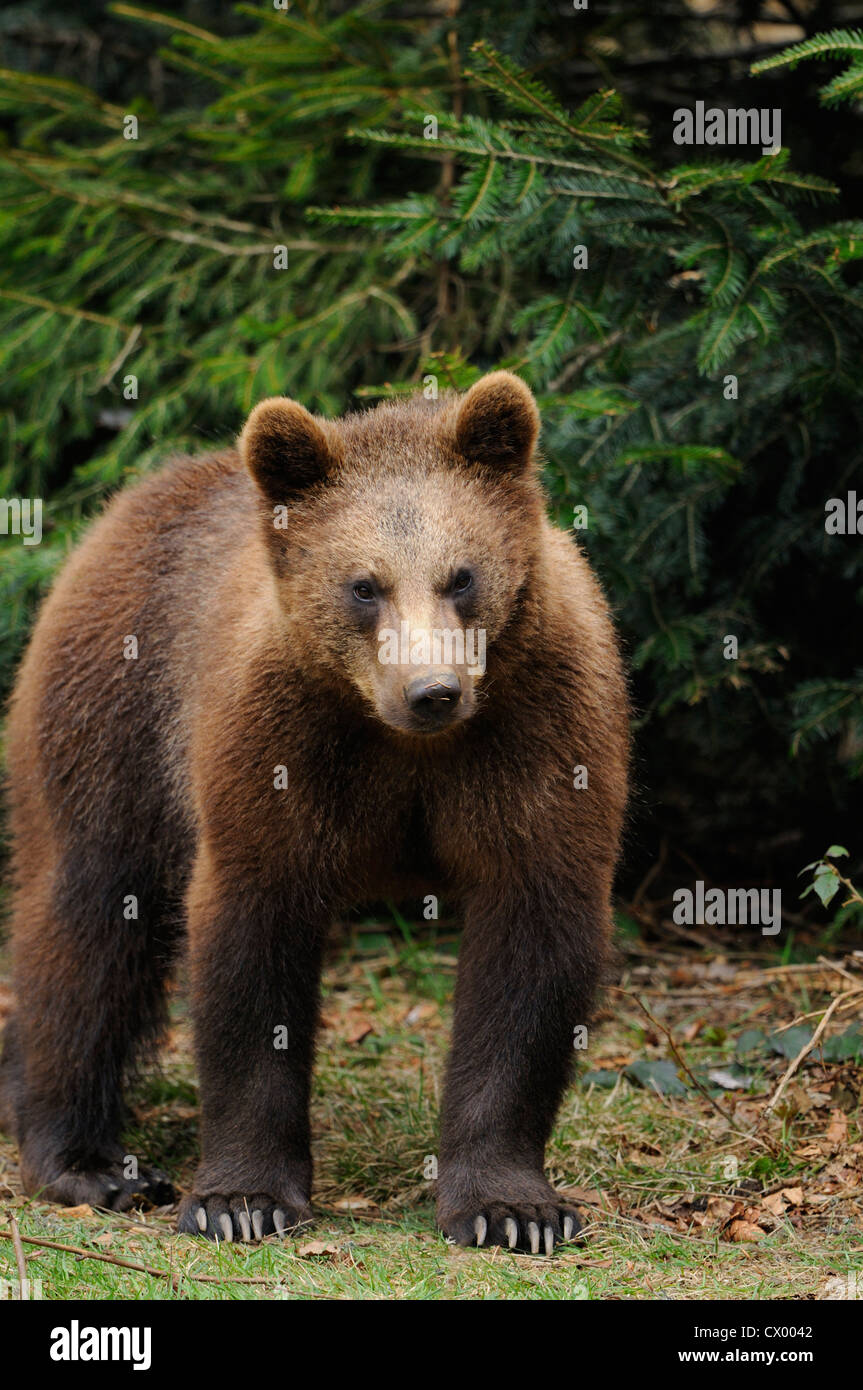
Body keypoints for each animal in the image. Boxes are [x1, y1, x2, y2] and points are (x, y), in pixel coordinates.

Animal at [0, 371, 628, 1252]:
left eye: (460, 575)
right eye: (363, 584)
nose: (432, 691)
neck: (398, 742)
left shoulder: (537, 733)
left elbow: (530, 949)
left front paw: (513, 1208)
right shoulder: (277, 743)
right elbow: (251, 942)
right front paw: (242, 1197)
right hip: (112, 717)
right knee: (86, 920)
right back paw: (87, 1160)